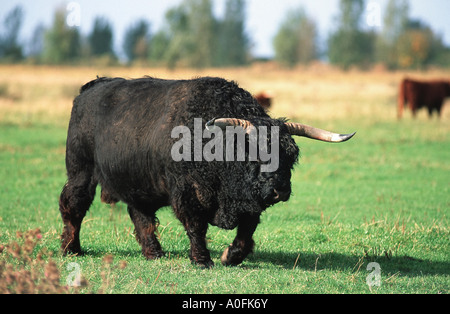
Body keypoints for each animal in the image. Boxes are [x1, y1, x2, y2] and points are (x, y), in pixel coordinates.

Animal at [59, 76, 356, 268]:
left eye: (291, 155)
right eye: (255, 151)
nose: (279, 189)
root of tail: (93, 86)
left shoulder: (249, 203)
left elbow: (247, 232)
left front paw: (230, 257)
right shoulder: (189, 194)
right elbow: (196, 226)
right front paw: (202, 260)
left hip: (138, 185)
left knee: (140, 216)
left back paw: (154, 253)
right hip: (81, 172)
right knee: (73, 205)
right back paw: (71, 249)